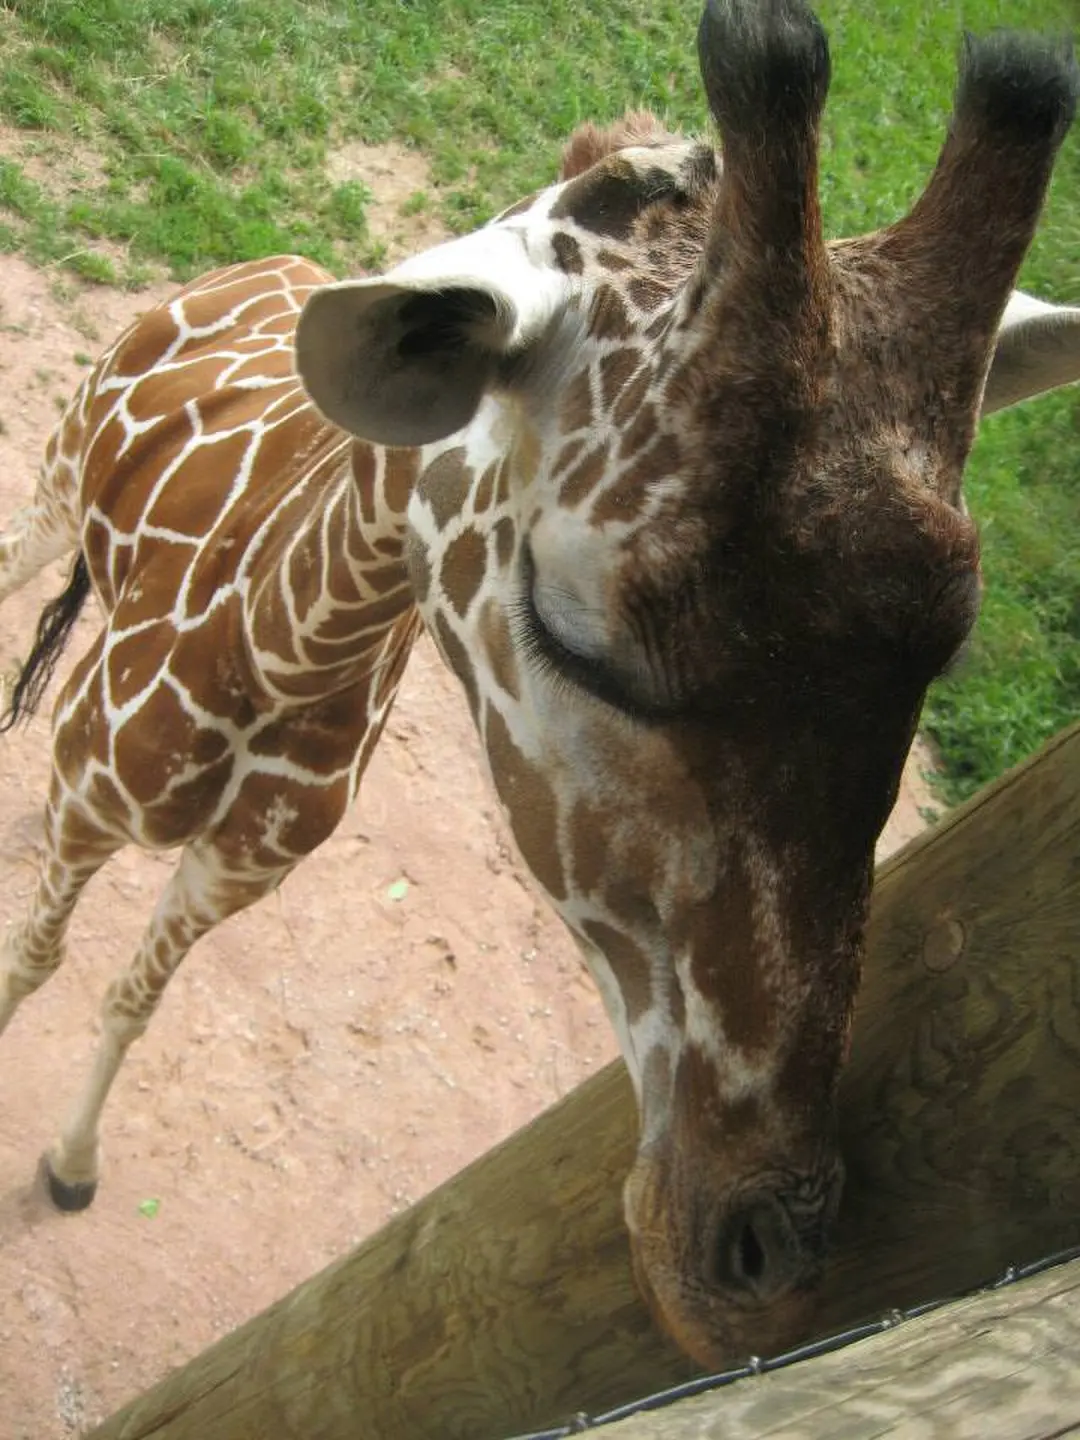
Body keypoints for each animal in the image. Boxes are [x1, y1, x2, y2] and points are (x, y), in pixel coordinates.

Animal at [1, 0, 1078, 1370]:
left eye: (937, 665)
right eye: (579, 638)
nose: (751, 1252)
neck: (283, 647)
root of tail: (267, 266)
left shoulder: (234, 874)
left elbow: (135, 993)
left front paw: (72, 1165)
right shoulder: (86, 806)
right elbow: (34, 958)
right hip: (57, 469)